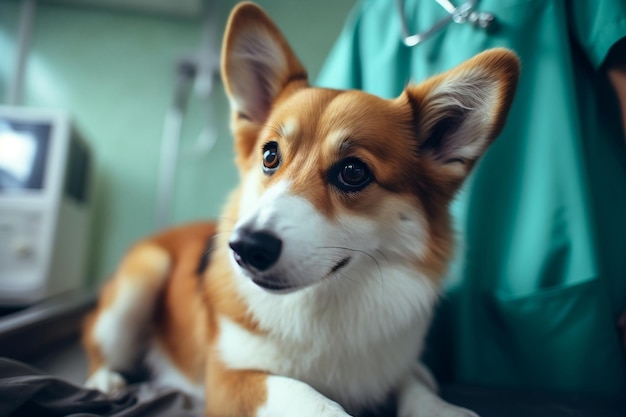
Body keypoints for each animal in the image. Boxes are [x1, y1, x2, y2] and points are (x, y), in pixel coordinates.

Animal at [81, 1, 516, 414]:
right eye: (270, 155)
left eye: (353, 172)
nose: (246, 248)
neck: (323, 303)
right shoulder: (228, 379)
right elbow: (305, 394)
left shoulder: (391, 366)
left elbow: (417, 385)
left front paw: (447, 408)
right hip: (141, 282)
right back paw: (105, 382)